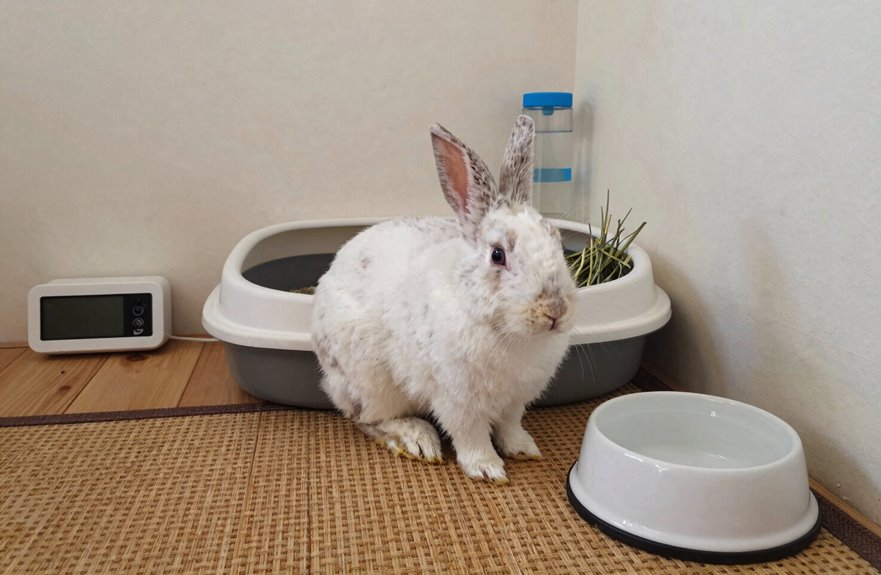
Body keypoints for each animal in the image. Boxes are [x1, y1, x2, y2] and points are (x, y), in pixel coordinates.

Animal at [311, 115, 576, 483]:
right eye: (497, 255)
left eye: (557, 241)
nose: (554, 310)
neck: (507, 333)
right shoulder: (457, 400)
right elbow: (471, 435)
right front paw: (487, 469)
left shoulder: (514, 401)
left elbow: (509, 426)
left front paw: (524, 449)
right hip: (373, 383)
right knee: (368, 420)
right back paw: (417, 440)